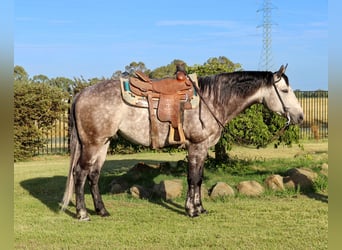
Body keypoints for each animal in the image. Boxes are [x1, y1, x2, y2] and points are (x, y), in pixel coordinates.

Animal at [60, 65, 302, 220]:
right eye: (284, 90)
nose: (299, 117)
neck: (211, 100)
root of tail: (80, 94)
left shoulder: (203, 149)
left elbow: (199, 179)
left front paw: (200, 208)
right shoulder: (196, 146)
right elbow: (193, 178)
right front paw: (191, 211)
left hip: (103, 143)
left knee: (93, 175)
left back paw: (102, 211)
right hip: (92, 144)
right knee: (80, 174)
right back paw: (83, 214)